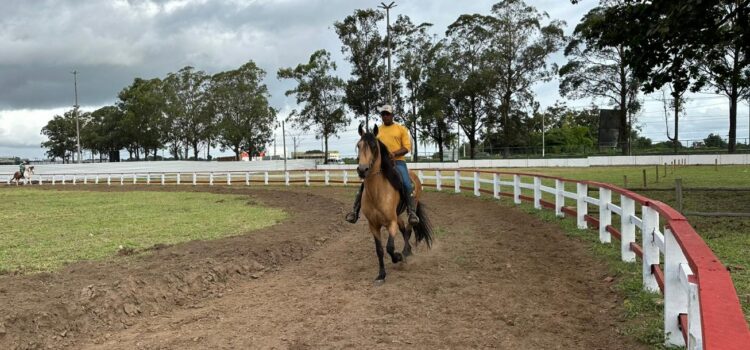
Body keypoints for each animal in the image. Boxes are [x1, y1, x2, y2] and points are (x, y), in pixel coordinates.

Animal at [356, 124, 434, 284]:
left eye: (374, 146)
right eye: (358, 145)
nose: (362, 170)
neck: (377, 192)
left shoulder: (391, 223)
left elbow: (390, 247)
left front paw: (398, 257)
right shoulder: (373, 225)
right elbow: (379, 250)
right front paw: (381, 275)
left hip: (408, 211)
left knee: (409, 228)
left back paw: (405, 252)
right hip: (397, 216)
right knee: (404, 229)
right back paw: (407, 251)